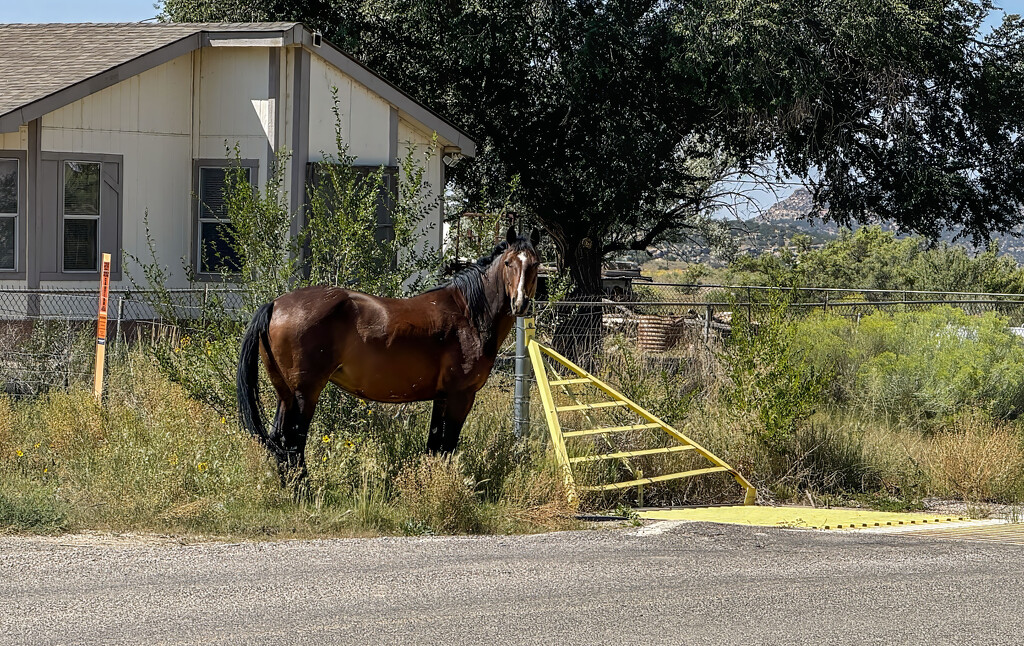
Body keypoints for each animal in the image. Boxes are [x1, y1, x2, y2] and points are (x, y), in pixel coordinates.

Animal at [237, 226, 544, 475]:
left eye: (535, 264)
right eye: (509, 262)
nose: (520, 304)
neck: (469, 313)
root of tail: (276, 304)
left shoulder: (443, 397)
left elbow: (435, 446)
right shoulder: (460, 396)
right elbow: (447, 445)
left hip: (285, 395)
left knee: (279, 441)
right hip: (304, 395)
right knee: (293, 444)